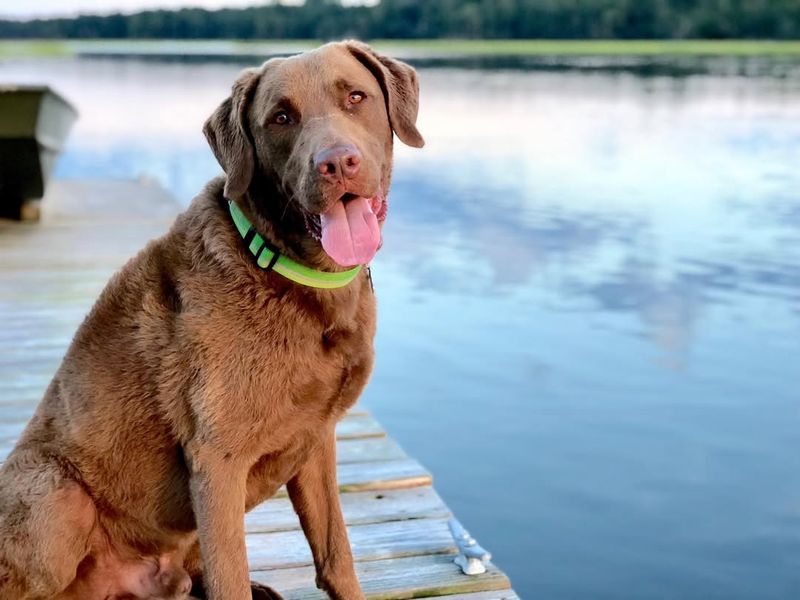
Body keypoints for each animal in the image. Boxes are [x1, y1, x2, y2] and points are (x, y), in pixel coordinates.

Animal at [0, 39, 424, 596]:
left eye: (356, 97)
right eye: (281, 117)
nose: (336, 163)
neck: (294, 278)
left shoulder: (316, 439)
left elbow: (336, 554)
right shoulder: (217, 459)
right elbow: (231, 577)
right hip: (54, 498)